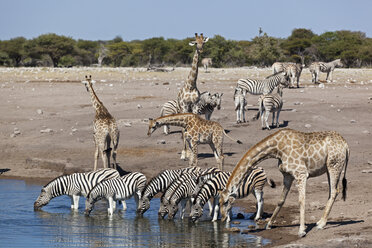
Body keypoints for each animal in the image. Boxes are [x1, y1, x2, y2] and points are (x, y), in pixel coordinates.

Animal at [218, 129, 348, 237]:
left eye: (226, 202)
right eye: (219, 202)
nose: (223, 218)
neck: (277, 148)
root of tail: (346, 145)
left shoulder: (301, 173)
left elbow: (301, 200)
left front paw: (301, 231)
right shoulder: (287, 175)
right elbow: (281, 200)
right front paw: (269, 224)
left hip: (334, 165)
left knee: (334, 191)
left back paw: (321, 224)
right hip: (329, 167)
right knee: (333, 191)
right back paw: (320, 222)